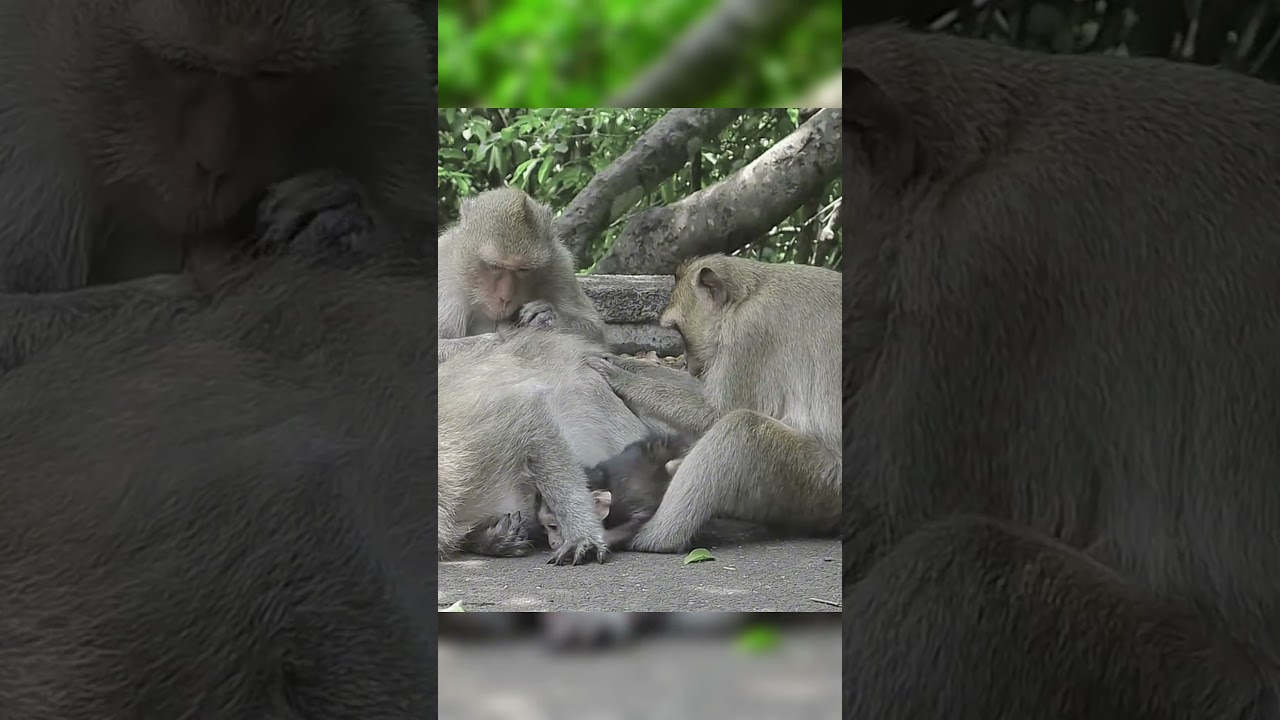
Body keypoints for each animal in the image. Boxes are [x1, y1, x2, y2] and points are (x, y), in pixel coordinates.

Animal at [0, 0, 435, 371]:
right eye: (182, 65)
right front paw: (206, 293)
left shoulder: (389, 75)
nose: (213, 165)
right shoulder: (25, 119)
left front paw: (345, 220)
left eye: (271, 75)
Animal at [437, 187, 605, 363]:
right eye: (495, 266)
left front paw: (547, 316)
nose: (505, 298)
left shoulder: (559, 264)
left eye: (523, 269)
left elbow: (595, 331)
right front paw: (497, 341)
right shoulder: (443, 273)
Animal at [589, 254, 841, 553]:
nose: (688, 364)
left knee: (740, 428)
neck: (745, 296)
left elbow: (716, 413)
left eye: (679, 330)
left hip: (824, 483)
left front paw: (620, 378)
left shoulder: (748, 333)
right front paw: (621, 362)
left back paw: (650, 537)